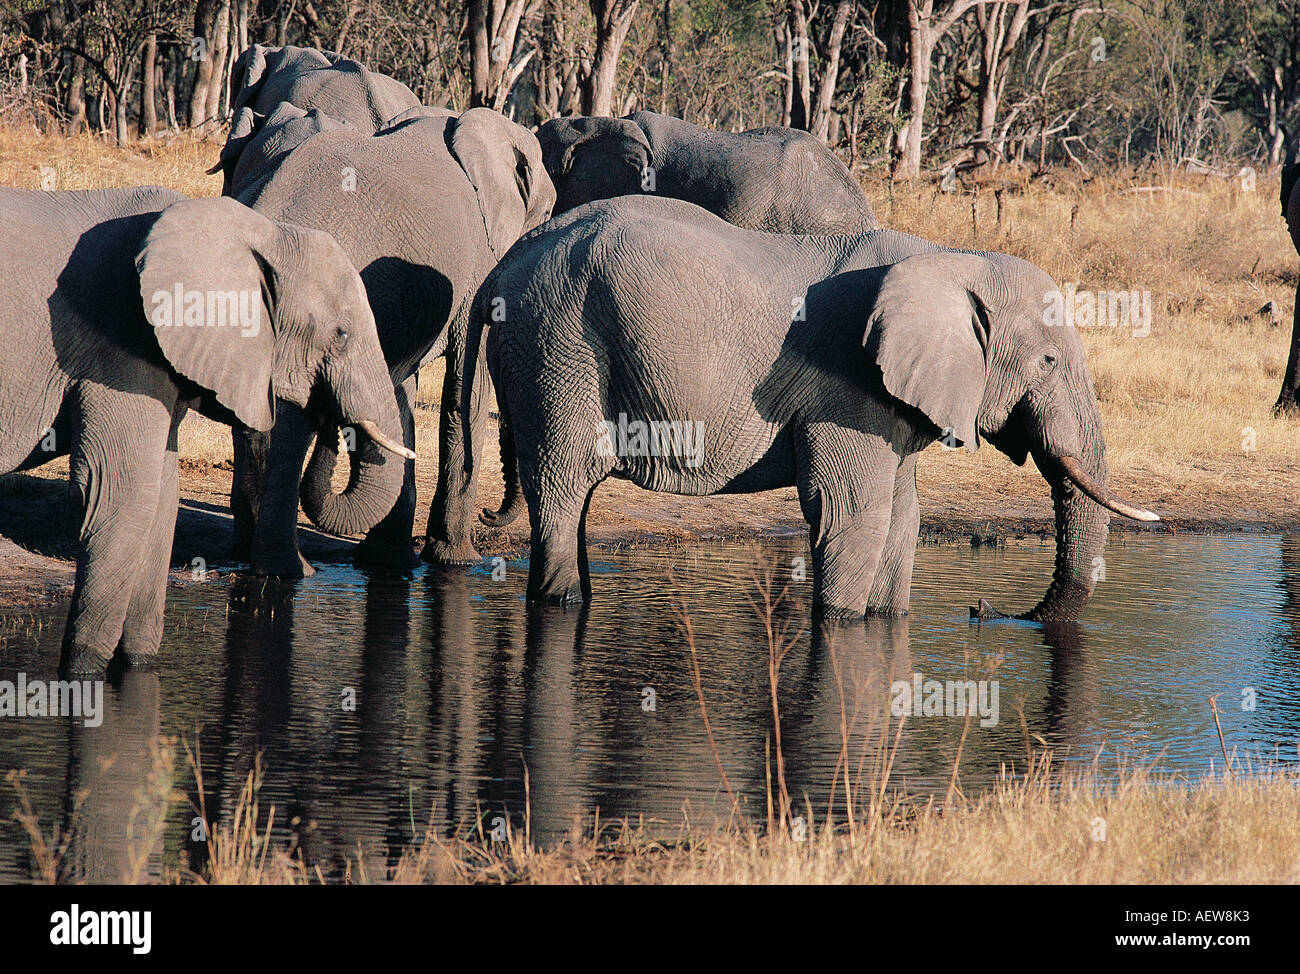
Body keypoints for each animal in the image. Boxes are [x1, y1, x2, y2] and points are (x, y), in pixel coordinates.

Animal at [0, 189, 410, 676]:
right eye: (342, 334)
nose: (328, 417)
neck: (261, 230)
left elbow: (162, 500)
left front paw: (137, 667)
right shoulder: (119, 347)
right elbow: (121, 493)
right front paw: (84, 674)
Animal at [211, 68, 553, 577]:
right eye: (547, 213)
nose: (493, 515)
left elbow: (402, 395)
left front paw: (390, 563)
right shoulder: (476, 262)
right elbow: (464, 392)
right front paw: (456, 562)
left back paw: (256, 559)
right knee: (292, 425)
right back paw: (289, 570)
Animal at [467, 196, 1159, 618]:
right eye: (1048, 362)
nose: (982, 610)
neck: (953, 260)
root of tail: (502, 263)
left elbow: (901, 518)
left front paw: (886, 620)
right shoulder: (847, 388)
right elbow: (853, 515)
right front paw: (844, 622)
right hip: (557, 347)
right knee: (561, 491)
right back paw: (559, 602)